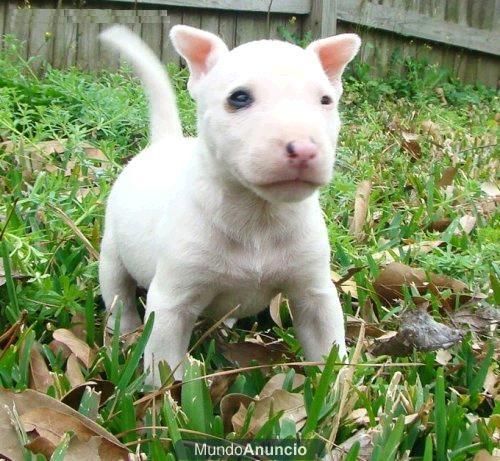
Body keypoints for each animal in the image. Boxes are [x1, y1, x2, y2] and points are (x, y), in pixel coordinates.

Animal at [99, 26, 362, 384]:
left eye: (326, 101)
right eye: (239, 98)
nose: (305, 150)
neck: (259, 216)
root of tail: (164, 142)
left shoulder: (314, 294)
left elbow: (327, 349)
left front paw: (337, 391)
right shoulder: (171, 303)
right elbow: (164, 364)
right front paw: (163, 395)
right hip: (112, 253)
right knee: (119, 294)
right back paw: (125, 334)